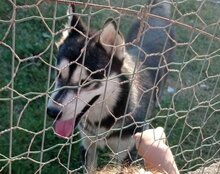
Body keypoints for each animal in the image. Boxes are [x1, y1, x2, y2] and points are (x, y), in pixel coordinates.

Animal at [46, 0, 175, 171]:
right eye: (58, 73)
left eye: (86, 82)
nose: (52, 112)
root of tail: (159, 8)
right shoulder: (88, 145)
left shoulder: (126, 154)